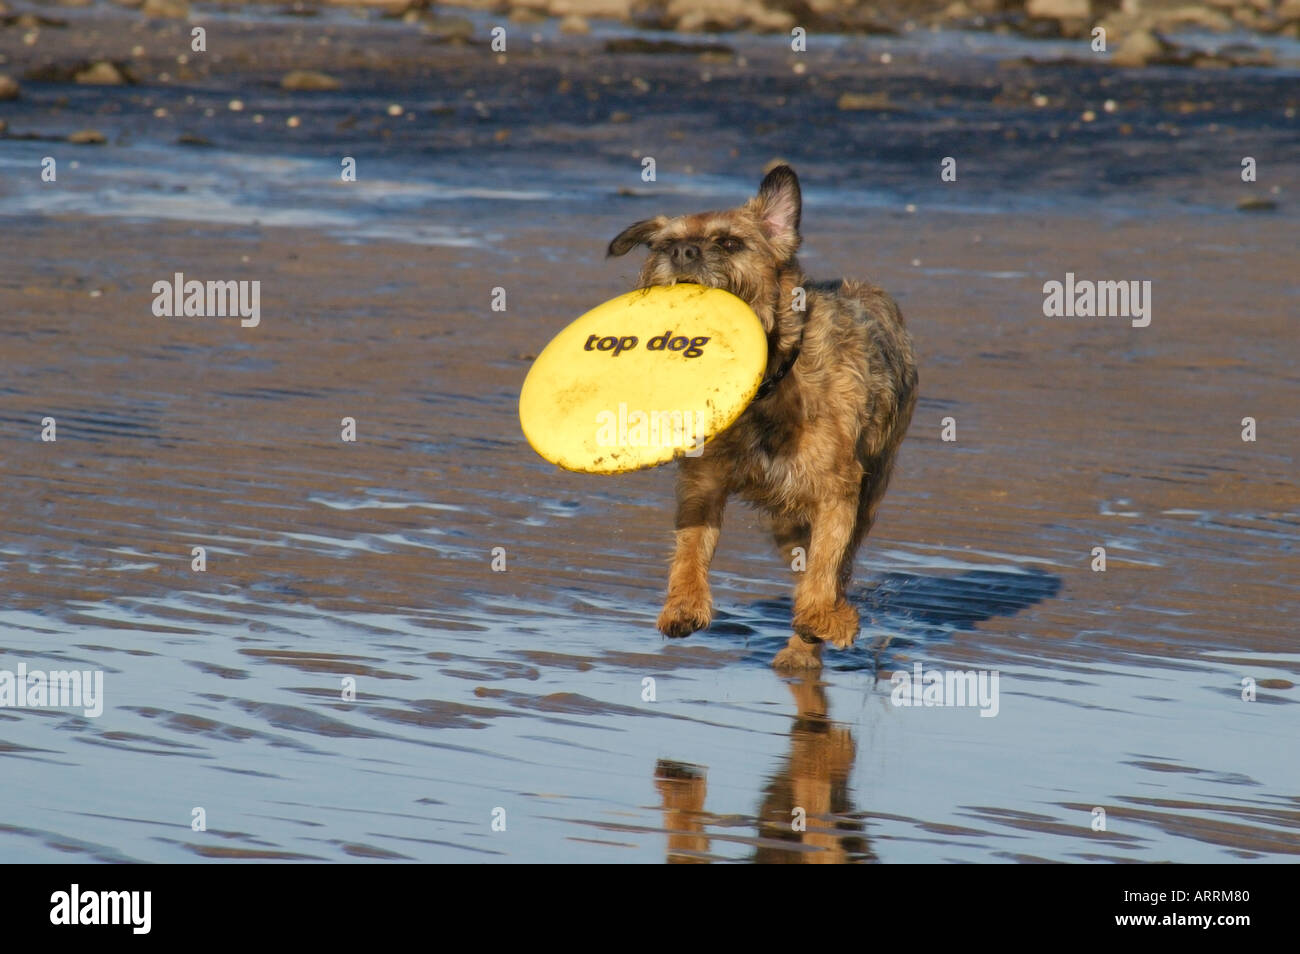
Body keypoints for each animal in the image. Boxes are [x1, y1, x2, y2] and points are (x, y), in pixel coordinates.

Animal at [605, 164, 915, 670]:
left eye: (730, 243)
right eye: (663, 244)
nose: (681, 252)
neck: (767, 383)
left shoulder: (838, 491)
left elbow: (825, 566)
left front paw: (823, 618)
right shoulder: (703, 483)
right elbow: (690, 547)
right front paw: (684, 605)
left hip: (869, 487)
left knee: (836, 564)